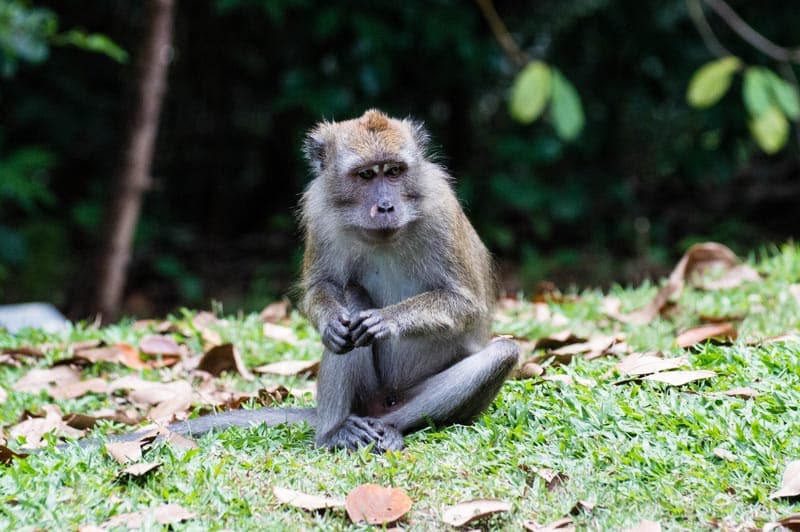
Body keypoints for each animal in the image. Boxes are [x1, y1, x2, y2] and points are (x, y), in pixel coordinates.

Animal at [121, 110, 520, 450]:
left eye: (394, 172)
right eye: (366, 175)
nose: (386, 206)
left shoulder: (441, 212)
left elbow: (466, 304)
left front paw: (387, 320)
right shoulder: (321, 213)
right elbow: (324, 289)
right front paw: (331, 321)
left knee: (502, 353)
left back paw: (391, 427)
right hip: (365, 398)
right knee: (351, 305)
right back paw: (333, 431)